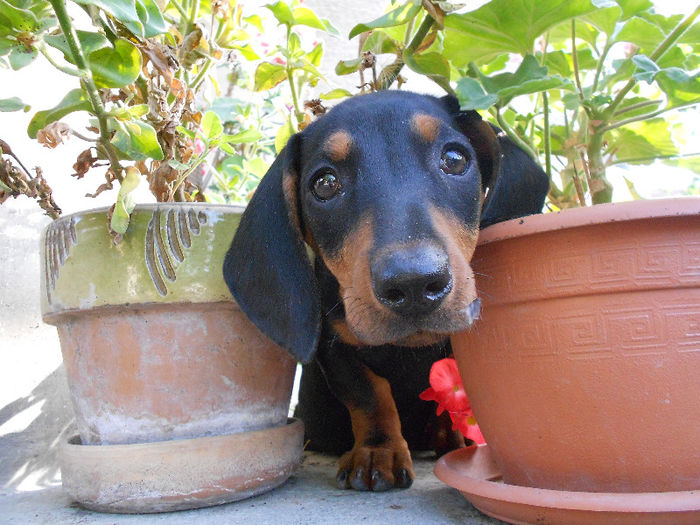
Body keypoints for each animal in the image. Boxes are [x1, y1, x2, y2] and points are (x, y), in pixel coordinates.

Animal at [223, 91, 548, 492]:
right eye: (324, 183)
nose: (414, 284)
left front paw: (449, 436)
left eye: (455, 159)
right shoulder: (335, 348)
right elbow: (369, 395)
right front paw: (378, 452)